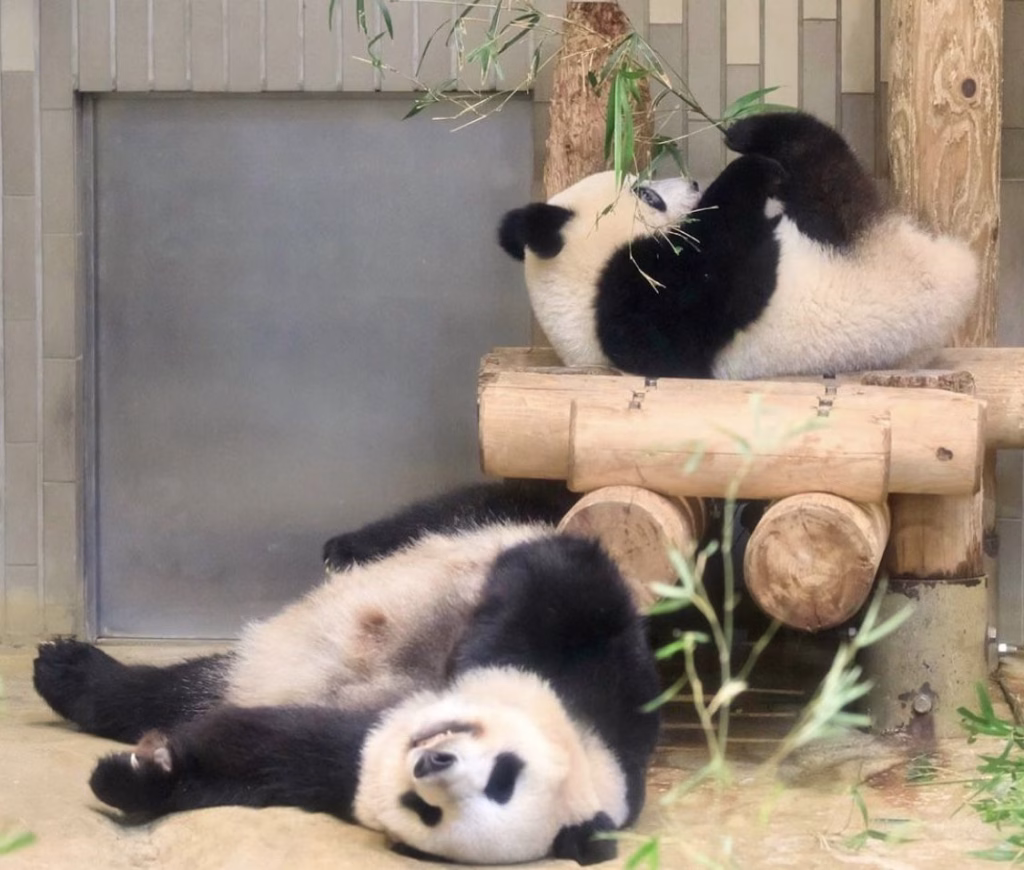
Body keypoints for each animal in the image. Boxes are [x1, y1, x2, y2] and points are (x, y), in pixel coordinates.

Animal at [32, 480, 661, 866]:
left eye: (425, 812)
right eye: (505, 774)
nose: (429, 761)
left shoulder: (351, 755)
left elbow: (264, 757)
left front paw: (141, 775)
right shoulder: (600, 672)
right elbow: (559, 577)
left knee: (182, 692)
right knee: (470, 507)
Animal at [498, 111, 978, 380]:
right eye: (648, 196)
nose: (693, 184)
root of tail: (960, 273)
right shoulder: (637, 309)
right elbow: (718, 272)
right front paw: (752, 171)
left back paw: (746, 129)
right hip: (856, 242)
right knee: (827, 169)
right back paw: (766, 142)